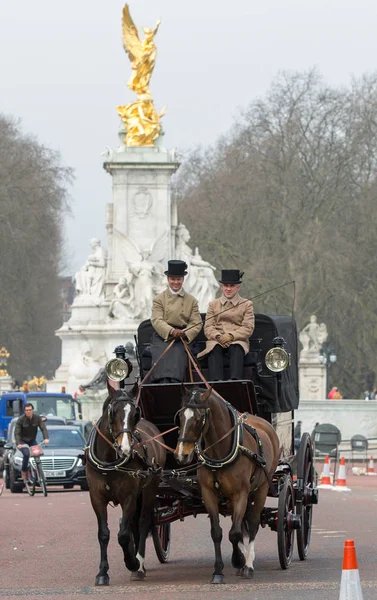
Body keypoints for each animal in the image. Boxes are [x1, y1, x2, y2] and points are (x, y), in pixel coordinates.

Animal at [87, 384, 167, 584]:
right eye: (112, 412)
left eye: (135, 413)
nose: (125, 449)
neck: (109, 461)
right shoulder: (96, 497)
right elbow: (104, 533)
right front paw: (102, 572)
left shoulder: (128, 497)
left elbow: (123, 535)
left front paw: (132, 562)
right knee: (134, 524)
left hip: (150, 488)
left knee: (143, 521)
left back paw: (139, 564)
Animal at [174, 386, 280, 584]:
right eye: (181, 417)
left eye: (199, 418)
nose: (181, 455)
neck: (220, 452)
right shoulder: (209, 493)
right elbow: (218, 532)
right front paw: (218, 571)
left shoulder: (241, 493)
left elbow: (235, 532)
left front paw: (240, 561)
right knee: (238, 523)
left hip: (261, 489)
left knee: (253, 523)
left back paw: (248, 564)